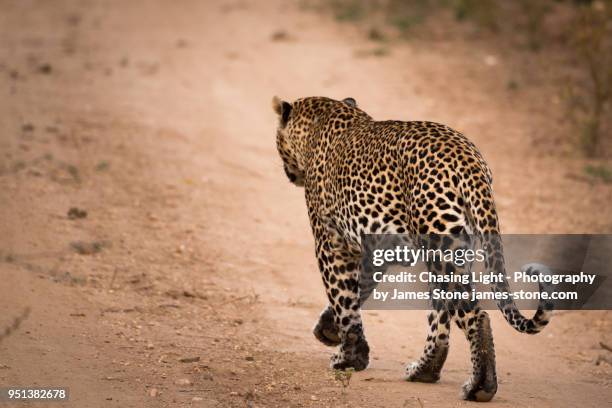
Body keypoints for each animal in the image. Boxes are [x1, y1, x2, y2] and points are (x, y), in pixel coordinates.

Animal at [270, 96, 552, 402]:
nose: (289, 174)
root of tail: (467, 157)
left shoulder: (331, 242)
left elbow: (342, 296)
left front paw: (348, 358)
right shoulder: (374, 250)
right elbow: (356, 293)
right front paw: (330, 329)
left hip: (440, 245)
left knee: (475, 316)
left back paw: (479, 387)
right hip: (448, 248)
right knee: (441, 320)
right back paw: (424, 371)